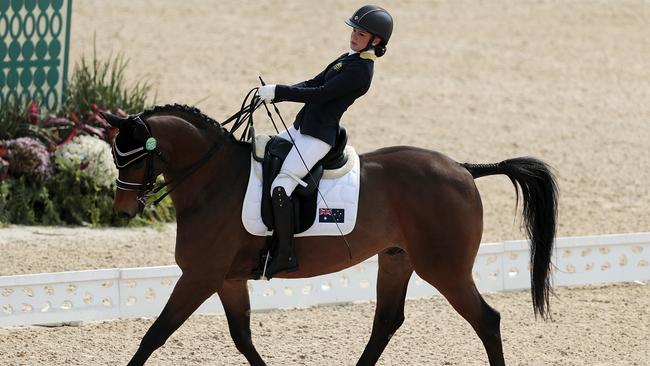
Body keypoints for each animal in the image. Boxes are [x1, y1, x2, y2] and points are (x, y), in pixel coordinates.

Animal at [101, 103, 556, 366]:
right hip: (397, 259)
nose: (123, 210)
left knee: (487, 321)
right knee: (386, 322)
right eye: (115, 155)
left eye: (134, 156)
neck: (215, 180)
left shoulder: (200, 276)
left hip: (445, 269)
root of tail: (463, 168)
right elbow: (242, 338)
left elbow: (155, 334)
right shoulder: (226, 279)